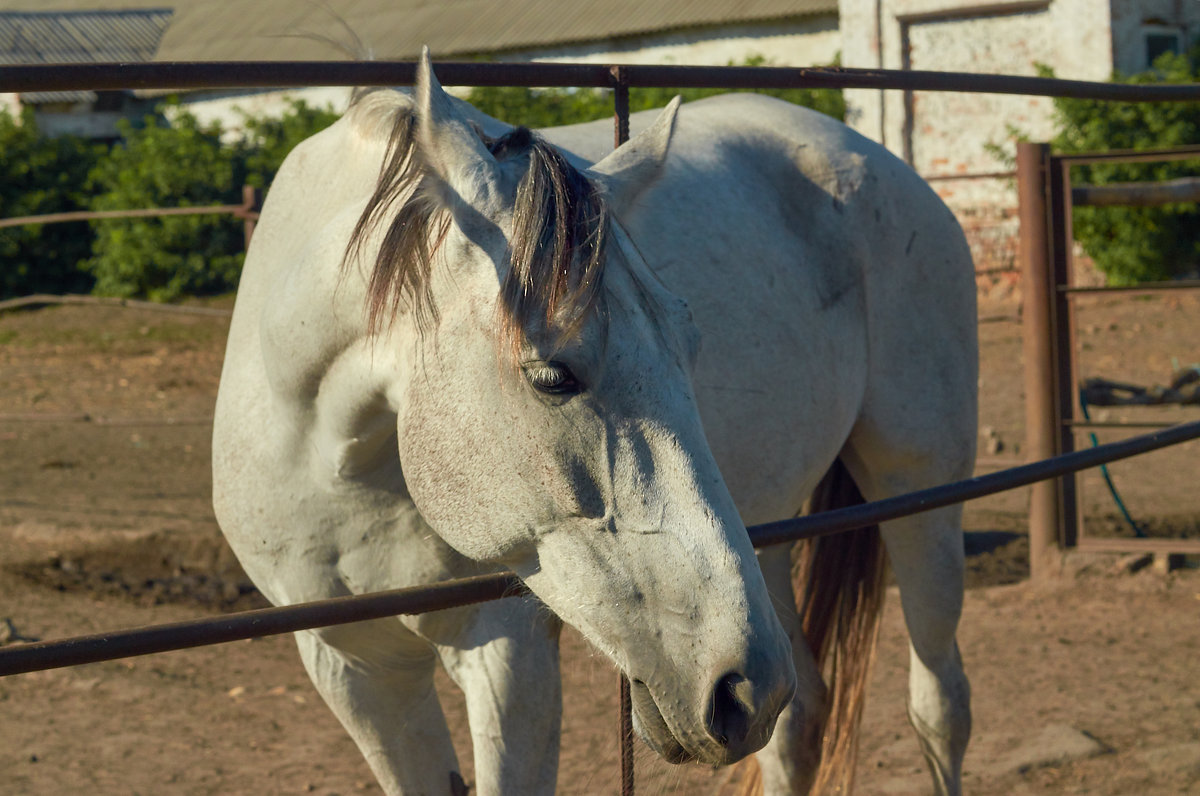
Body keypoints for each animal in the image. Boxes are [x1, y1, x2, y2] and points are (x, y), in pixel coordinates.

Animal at [213, 52, 974, 792]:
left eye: (691, 340)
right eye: (554, 376)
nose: (740, 688)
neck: (339, 460)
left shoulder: (506, 652)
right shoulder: (356, 672)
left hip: (920, 491)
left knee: (939, 708)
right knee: (798, 722)